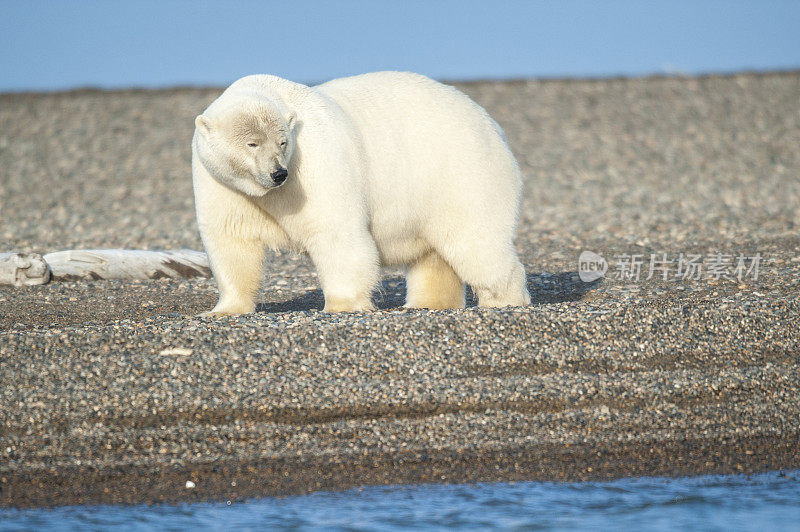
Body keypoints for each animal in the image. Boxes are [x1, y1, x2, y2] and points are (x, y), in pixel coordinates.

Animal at [192, 69, 532, 312]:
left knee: (475, 241)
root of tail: (492, 125)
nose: (278, 173)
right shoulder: (221, 184)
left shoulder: (315, 162)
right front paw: (224, 309)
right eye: (252, 143)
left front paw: (341, 306)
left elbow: (335, 231)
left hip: (463, 173)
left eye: (283, 142)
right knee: (432, 254)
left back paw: (504, 299)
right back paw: (428, 302)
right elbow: (231, 239)